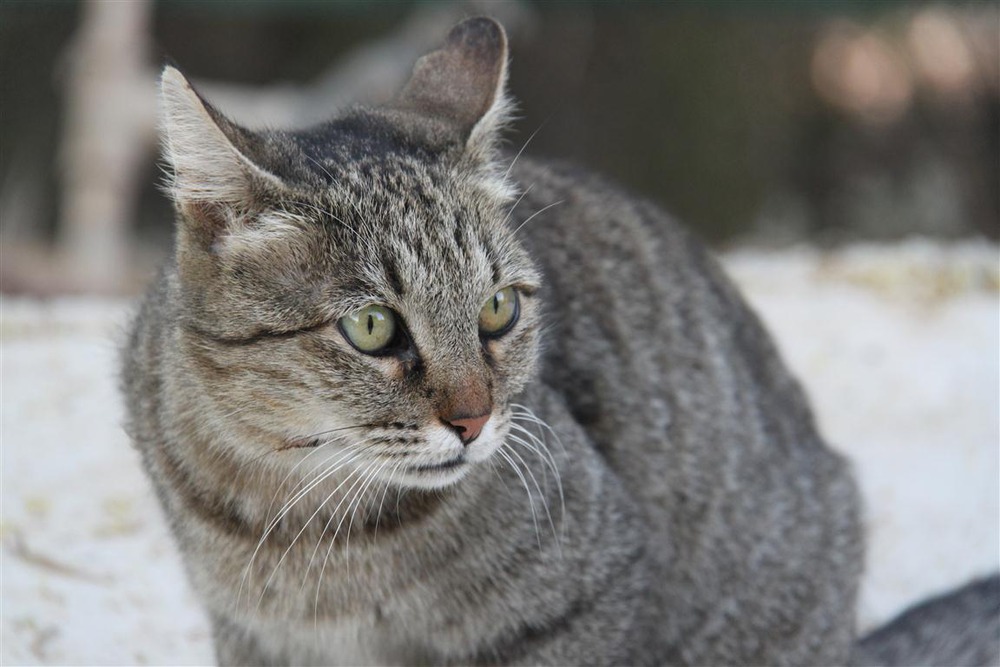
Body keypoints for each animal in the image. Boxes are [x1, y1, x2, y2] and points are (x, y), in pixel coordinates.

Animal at [123, 15, 992, 667]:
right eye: (372, 327)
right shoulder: (258, 638)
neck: (295, 511)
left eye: (498, 309)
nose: (473, 420)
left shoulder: (585, 597)